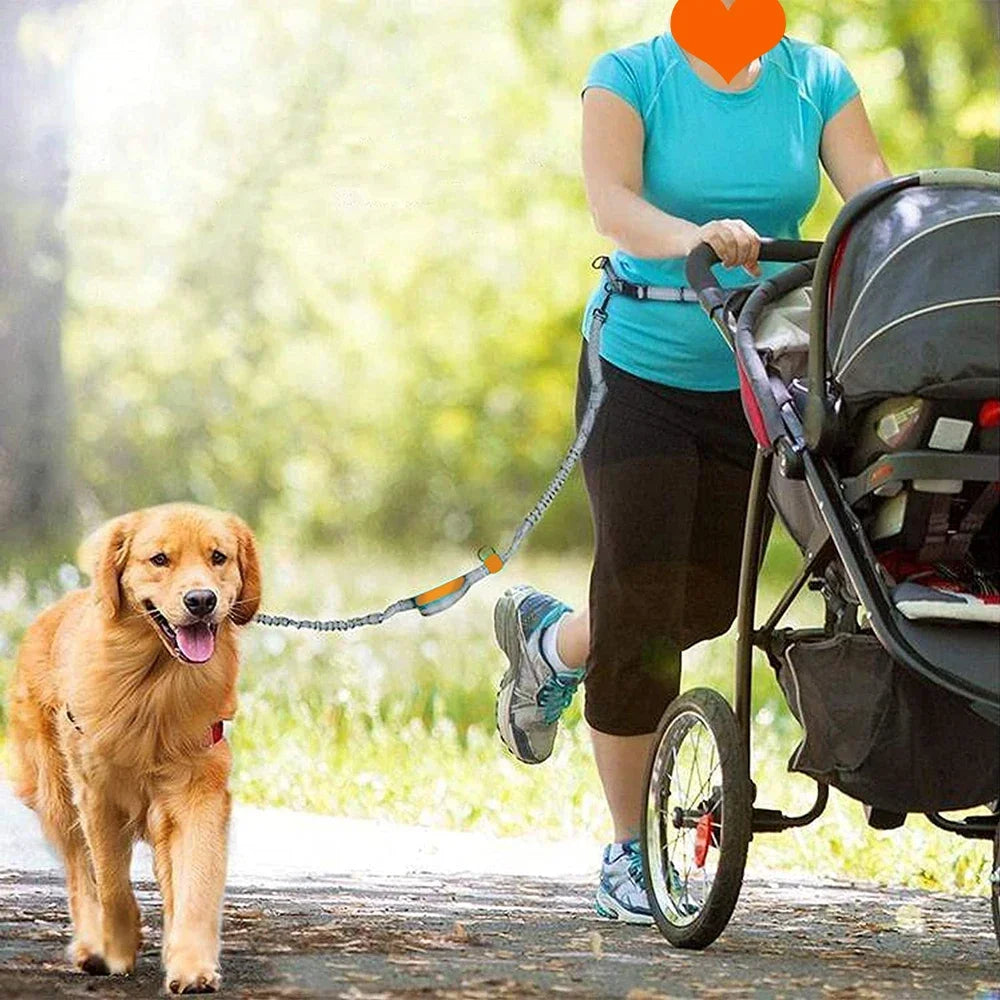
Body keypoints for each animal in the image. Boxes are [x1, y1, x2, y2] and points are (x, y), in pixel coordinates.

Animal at [8, 504, 258, 996]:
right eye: (159, 559)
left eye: (218, 557)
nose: (201, 600)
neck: (153, 686)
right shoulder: (96, 795)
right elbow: (109, 883)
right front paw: (119, 947)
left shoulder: (197, 792)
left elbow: (196, 882)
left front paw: (192, 966)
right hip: (56, 794)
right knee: (78, 871)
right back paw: (92, 945)